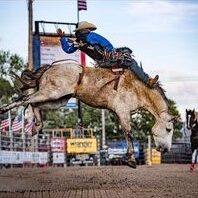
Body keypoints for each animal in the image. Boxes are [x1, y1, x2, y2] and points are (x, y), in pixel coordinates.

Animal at [0, 62, 174, 168]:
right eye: (168, 129)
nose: (165, 149)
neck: (139, 89)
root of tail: (49, 68)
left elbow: (127, 133)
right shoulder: (123, 111)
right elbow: (128, 133)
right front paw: (130, 160)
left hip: (58, 99)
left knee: (34, 104)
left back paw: (36, 127)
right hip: (51, 92)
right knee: (25, 99)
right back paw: (4, 109)